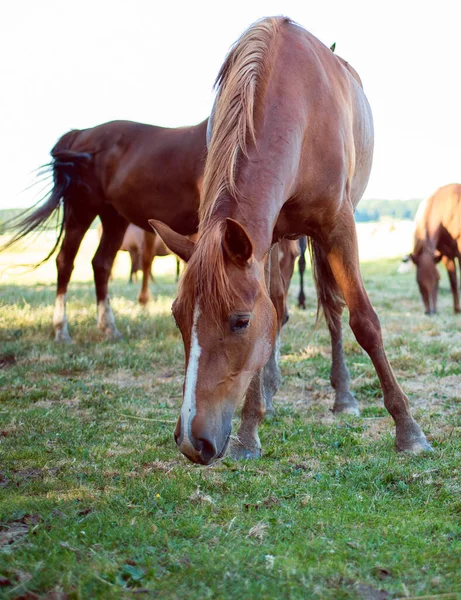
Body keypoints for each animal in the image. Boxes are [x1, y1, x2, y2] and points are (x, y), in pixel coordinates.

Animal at [153, 14, 430, 464]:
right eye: (178, 316)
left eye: (240, 321)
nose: (193, 443)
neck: (296, 104)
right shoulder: (260, 239)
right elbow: (272, 316)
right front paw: (250, 428)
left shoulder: (338, 226)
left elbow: (363, 321)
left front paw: (408, 429)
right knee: (281, 304)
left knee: (332, 309)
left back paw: (344, 395)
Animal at [410, 183, 460, 314]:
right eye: (418, 281)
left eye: (437, 280)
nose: (431, 311)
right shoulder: (446, 255)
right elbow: (453, 282)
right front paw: (457, 309)